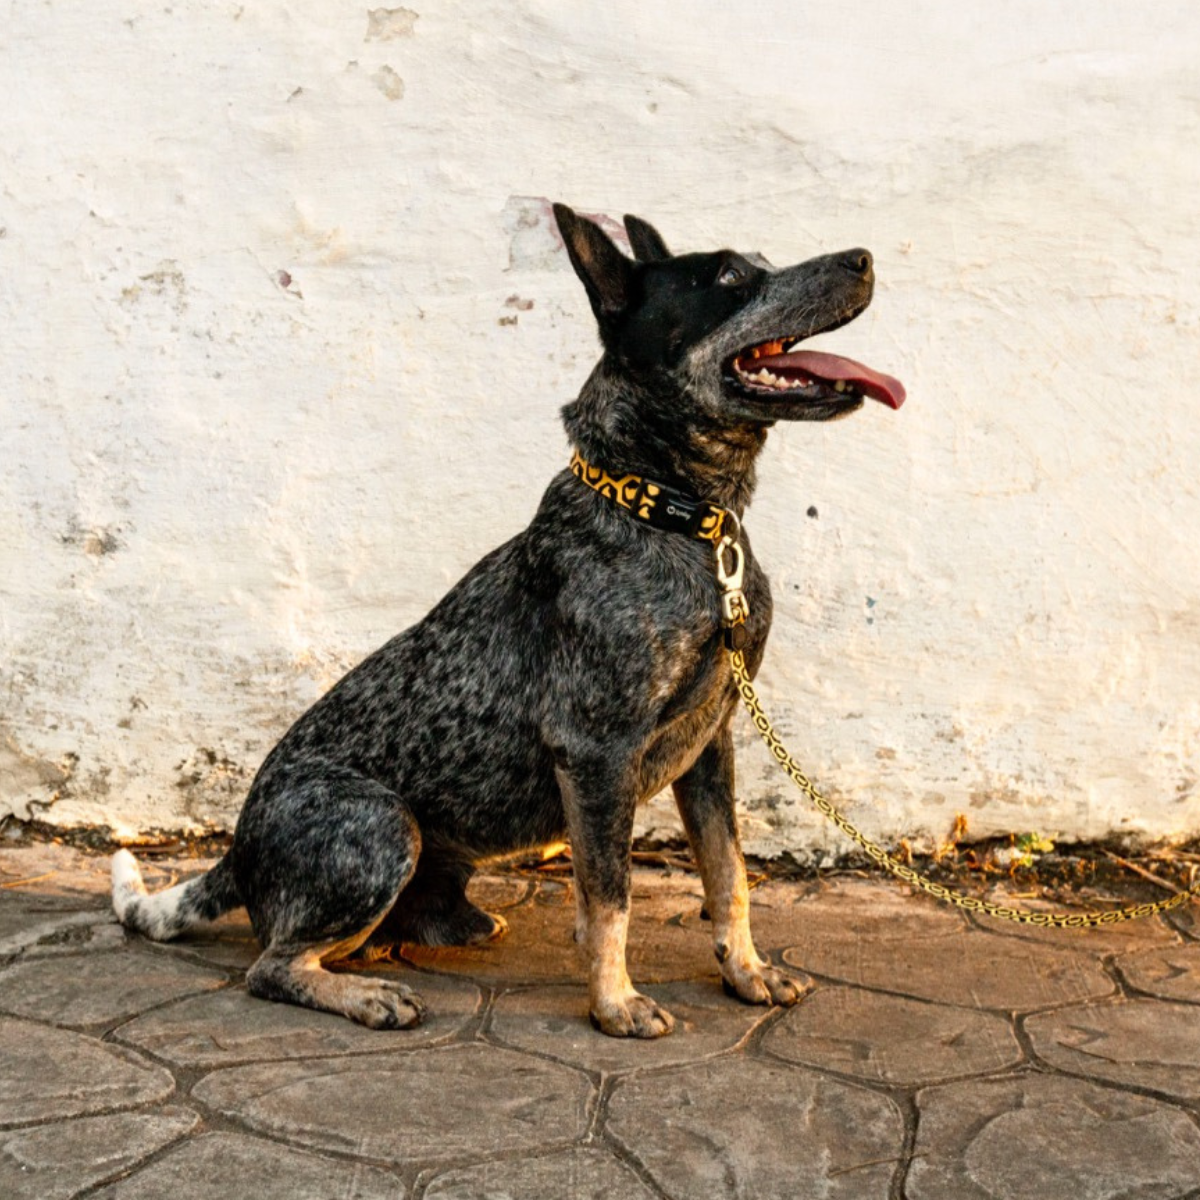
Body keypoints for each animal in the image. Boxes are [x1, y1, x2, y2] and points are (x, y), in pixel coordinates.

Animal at [112, 201, 902, 1036]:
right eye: (728, 276)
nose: (862, 258)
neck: (677, 519)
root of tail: (236, 851)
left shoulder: (711, 743)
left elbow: (729, 875)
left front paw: (746, 972)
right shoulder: (596, 750)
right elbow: (611, 896)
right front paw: (615, 1004)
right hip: (381, 824)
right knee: (274, 965)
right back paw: (365, 993)